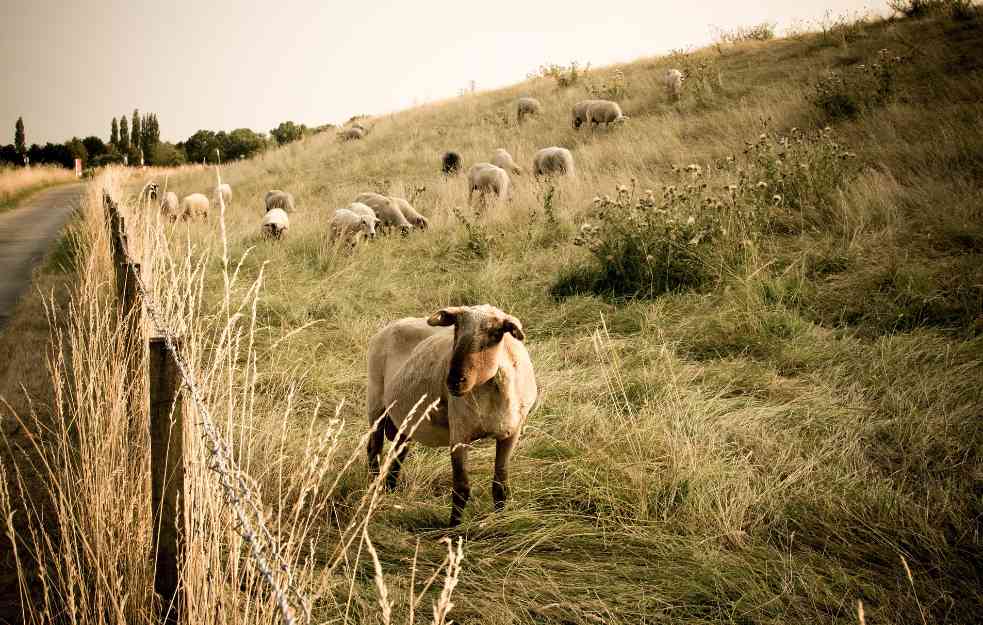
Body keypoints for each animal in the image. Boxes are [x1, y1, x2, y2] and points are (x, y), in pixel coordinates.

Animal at [368, 304, 540, 524]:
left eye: (496, 333)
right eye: (456, 327)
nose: (454, 381)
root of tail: (390, 326)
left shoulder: (511, 433)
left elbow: (500, 485)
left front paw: (501, 519)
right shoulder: (459, 434)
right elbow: (461, 488)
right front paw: (453, 527)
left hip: (405, 419)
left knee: (398, 453)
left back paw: (390, 489)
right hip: (376, 404)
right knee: (374, 451)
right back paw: (375, 491)